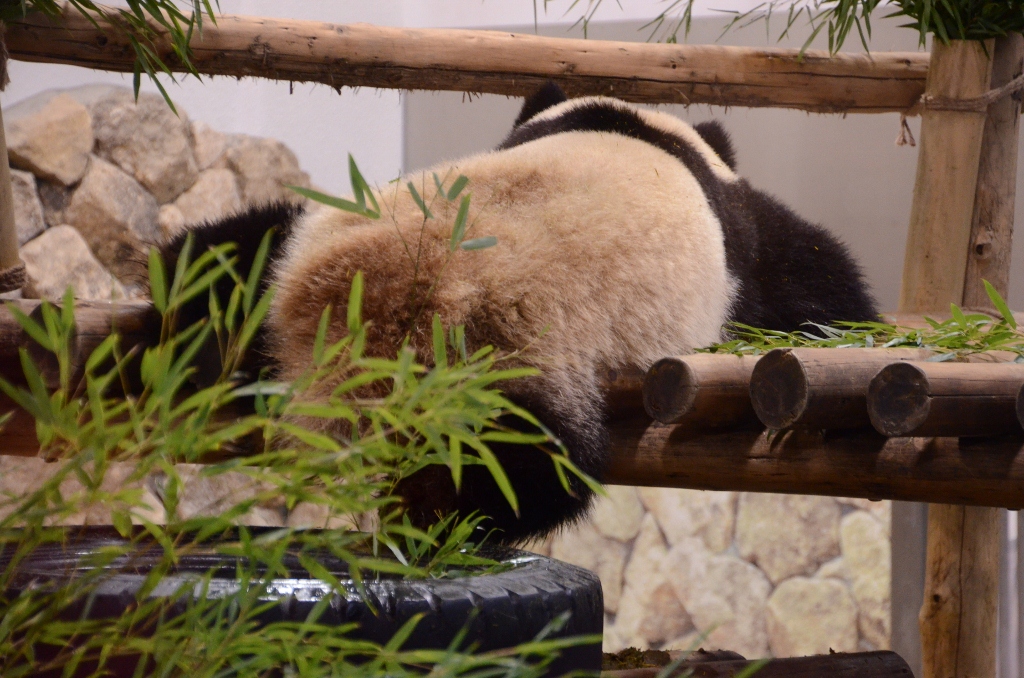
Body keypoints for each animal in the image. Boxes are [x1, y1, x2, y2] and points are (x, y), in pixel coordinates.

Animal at [163, 82, 876, 544]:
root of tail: (354, 305)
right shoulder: (740, 248)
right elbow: (805, 274)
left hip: (306, 237)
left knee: (228, 254)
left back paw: (181, 331)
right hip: (502, 351)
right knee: (523, 464)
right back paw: (442, 520)